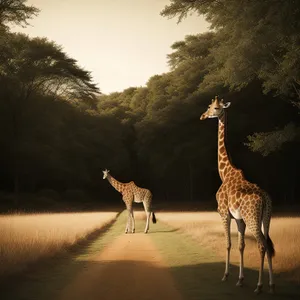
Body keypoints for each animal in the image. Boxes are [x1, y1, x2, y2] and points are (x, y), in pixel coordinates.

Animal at [200, 96, 276, 292]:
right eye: (210, 106)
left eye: (215, 108)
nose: (203, 116)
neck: (225, 173)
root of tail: (264, 198)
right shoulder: (239, 219)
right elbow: (241, 245)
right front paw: (240, 279)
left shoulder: (223, 213)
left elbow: (228, 244)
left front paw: (226, 276)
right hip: (266, 218)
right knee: (268, 244)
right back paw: (271, 285)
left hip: (252, 218)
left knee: (261, 244)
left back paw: (259, 286)